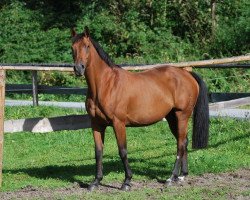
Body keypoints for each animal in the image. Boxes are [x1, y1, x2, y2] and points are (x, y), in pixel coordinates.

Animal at [70, 26, 209, 191]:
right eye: (72, 48)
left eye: (87, 46)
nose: (78, 68)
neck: (106, 85)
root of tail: (187, 74)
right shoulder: (96, 124)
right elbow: (98, 151)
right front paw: (96, 182)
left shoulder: (118, 123)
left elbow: (122, 150)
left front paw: (127, 181)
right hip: (171, 118)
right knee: (184, 141)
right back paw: (182, 175)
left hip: (182, 115)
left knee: (180, 144)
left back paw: (171, 177)